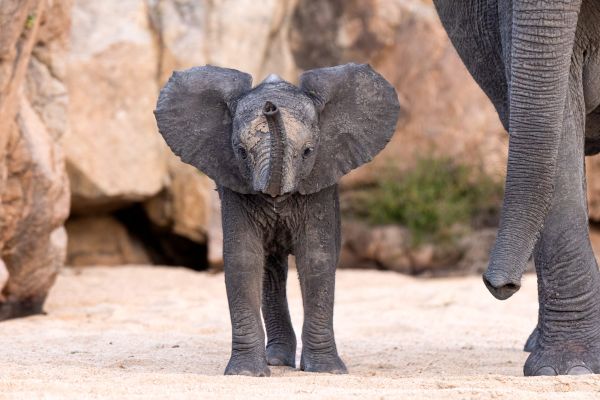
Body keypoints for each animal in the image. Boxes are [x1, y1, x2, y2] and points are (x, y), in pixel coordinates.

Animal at [154, 64, 398, 376]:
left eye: (308, 151)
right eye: (241, 151)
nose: (270, 107)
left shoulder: (319, 185)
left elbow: (316, 259)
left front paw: (326, 371)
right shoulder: (234, 183)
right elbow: (243, 258)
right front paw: (245, 373)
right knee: (270, 272)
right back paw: (278, 360)